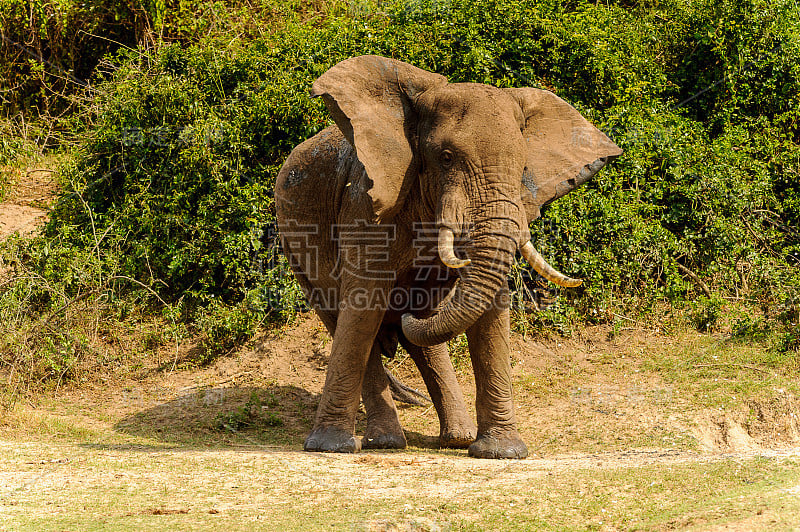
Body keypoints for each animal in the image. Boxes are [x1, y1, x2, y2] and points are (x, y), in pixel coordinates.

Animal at [278, 56, 620, 460]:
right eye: (445, 158)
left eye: (523, 168)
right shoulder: (366, 203)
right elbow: (364, 304)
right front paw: (329, 448)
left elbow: (491, 308)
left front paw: (501, 453)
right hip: (293, 245)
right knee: (347, 318)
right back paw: (386, 442)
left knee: (420, 336)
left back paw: (456, 438)